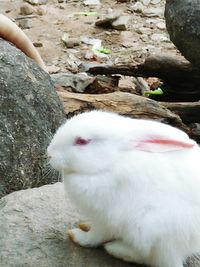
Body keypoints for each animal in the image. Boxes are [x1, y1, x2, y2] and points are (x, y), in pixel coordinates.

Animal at [47, 110, 200, 267]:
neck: (111, 162)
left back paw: (115, 249)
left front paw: (76, 236)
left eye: (82, 141)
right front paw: (84, 225)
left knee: (148, 256)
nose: (49, 153)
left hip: (148, 230)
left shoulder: (105, 217)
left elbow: (95, 236)